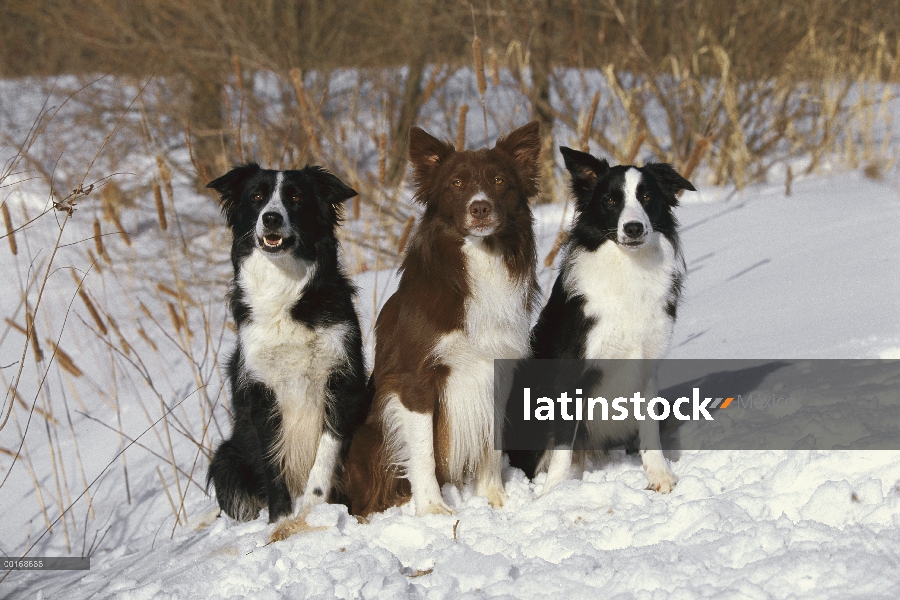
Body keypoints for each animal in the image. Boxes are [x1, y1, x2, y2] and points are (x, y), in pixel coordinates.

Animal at [206, 162, 368, 524]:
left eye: (295, 197)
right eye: (257, 197)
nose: (271, 218)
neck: (283, 285)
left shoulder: (341, 380)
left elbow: (325, 452)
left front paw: (311, 509)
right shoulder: (261, 391)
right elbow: (272, 463)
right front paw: (279, 521)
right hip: (226, 458)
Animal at [346, 120, 540, 516]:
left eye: (499, 180)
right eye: (457, 183)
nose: (480, 208)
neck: (479, 262)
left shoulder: (497, 370)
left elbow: (491, 444)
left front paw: (495, 498)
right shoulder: (415, 378)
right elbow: (423, 453)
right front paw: (433, 510)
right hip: (369, 437)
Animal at [510, 145, 692, 492]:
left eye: (647, 196)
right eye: (610, 200)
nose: (633, 228)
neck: (630, 268)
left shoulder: (647, 364)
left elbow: (650, 428)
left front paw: (660, 475)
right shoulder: (571, 370)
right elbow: (562, 443)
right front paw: (553, 494)